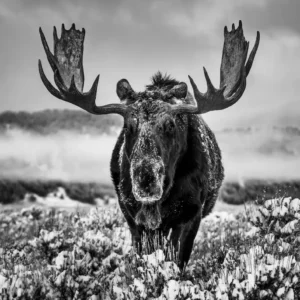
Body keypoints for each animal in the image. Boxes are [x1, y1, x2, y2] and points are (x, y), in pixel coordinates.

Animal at [38, 21, 258, 270]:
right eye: (128, 125)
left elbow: (178, 258)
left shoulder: (192, 213)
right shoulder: (131, 215)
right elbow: (145, 255)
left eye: (171, 124)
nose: (145, 178)